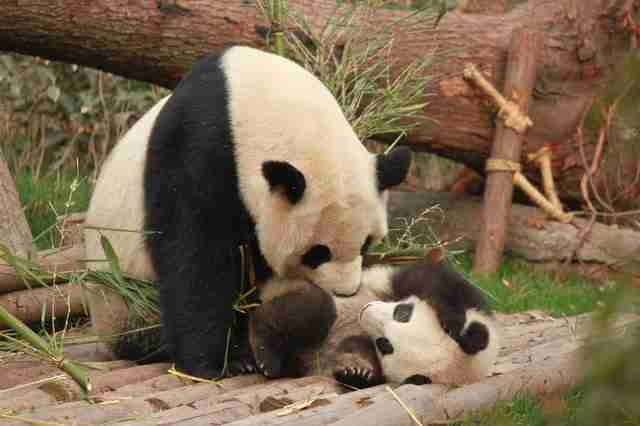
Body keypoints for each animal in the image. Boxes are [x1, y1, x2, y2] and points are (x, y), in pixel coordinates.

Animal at [85, 45, 412, 380]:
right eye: (317, 253)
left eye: (366, 243)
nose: (345, 291)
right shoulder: (198, 150)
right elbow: (195, 256)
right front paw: (213, 363)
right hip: (126, 300)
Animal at [250, 251, 500, 388]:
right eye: (403, 313)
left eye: (385, 345)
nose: (365, 311)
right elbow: (433, 280)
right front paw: (451, 320)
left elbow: (356, 350)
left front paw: (356, 372)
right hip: (295, 284)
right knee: (313, 310)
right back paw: (264, 352)